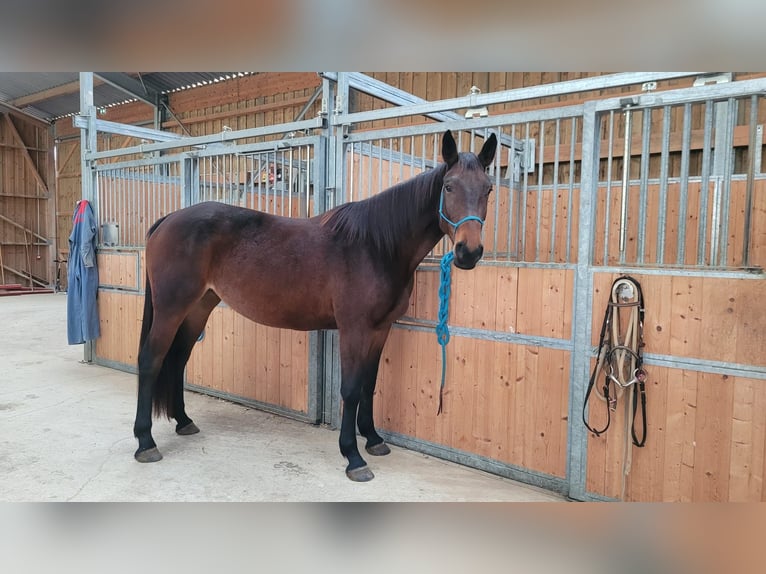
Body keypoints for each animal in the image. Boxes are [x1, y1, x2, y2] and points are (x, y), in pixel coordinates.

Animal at [136, 129, 500, 482]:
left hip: (198, 308)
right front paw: (353, 457)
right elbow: (350, 389)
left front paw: (373, 440)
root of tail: (168, 219)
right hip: (171, 309)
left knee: (179, 359)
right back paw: (145, 442)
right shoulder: (354, 329)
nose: (469, 252)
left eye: (488, 189)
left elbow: (369, 384)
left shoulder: (380, 329)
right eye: (449, 186)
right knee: (151, 360)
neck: (375, 246)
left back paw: (184, 422)